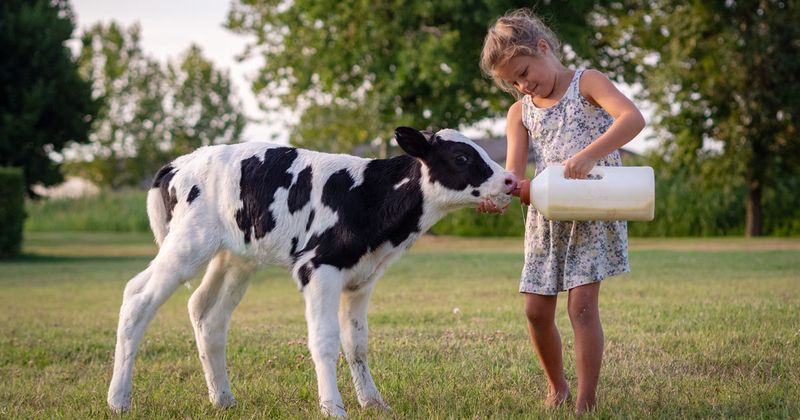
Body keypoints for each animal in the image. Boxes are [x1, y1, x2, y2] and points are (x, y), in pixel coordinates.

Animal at [108, 126, 520, 416]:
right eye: (462, 157)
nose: (510, 180)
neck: (369, 196)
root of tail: (177, 163)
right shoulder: (319, 267)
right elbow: (324, 341)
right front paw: (333, 407)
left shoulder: (362, 278)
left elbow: (357, 343)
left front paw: (373, 403)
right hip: (187, 244)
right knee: (136, 298)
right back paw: (119, 400)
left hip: (236, 256)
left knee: (206, 312)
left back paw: (223, 399)